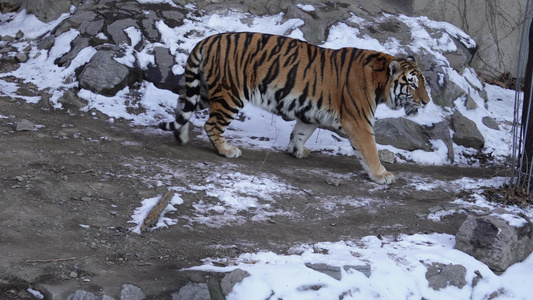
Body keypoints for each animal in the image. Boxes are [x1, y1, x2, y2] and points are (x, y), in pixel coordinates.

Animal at [157, 31, 428, 184]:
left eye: (423, 83)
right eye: (412, 84)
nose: (426, 102)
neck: (381, 81)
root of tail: (208, 39)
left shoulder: (310, 111)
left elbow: (300, 132)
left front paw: (297, 151)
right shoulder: (359, 122)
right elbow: (370, 150)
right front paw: (382, 175)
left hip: (205, 89)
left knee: (183, 104)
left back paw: (181, 135)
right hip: (230, 94)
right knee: (211, 124)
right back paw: (226, 150)